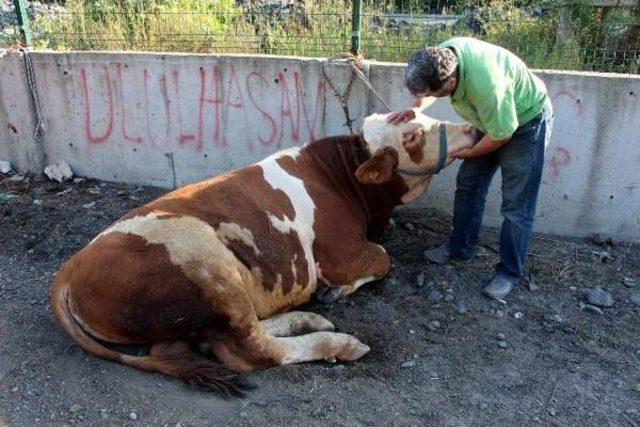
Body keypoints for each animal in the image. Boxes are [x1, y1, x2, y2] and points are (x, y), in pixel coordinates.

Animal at [50, 102, 478, 396]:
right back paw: (337, 342)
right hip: (208, 262)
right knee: (248, 349)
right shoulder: (341, 254)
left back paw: (307, 318)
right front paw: (337, 291)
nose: (473, 129)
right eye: (413, 137)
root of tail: (69, 270)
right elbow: (384, 259)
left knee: (202, 341)